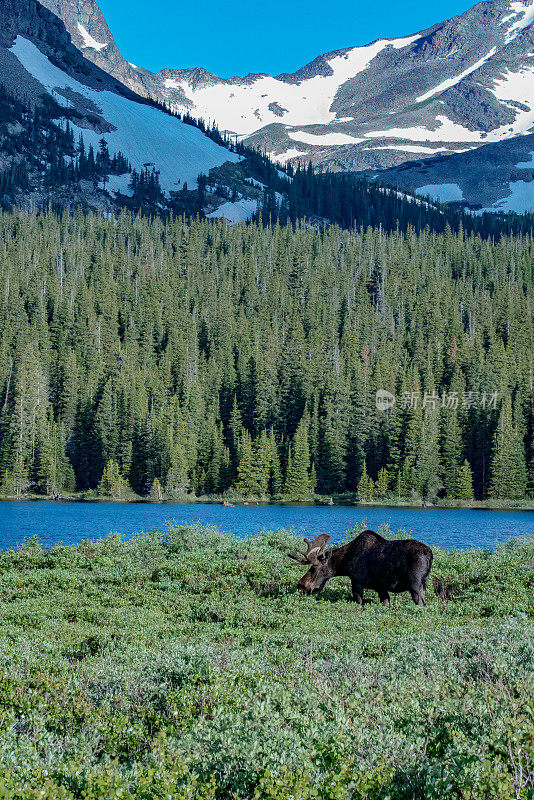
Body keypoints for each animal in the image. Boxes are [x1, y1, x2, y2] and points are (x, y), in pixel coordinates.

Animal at [288, 532, 436, 608]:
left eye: (314, 567)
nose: (301, 585)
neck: (344, 563)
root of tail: (430, 554)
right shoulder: (381, 587)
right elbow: (386, 604)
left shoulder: (357, 582)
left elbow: (359, 602)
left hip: (416, 585)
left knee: (423, 603)